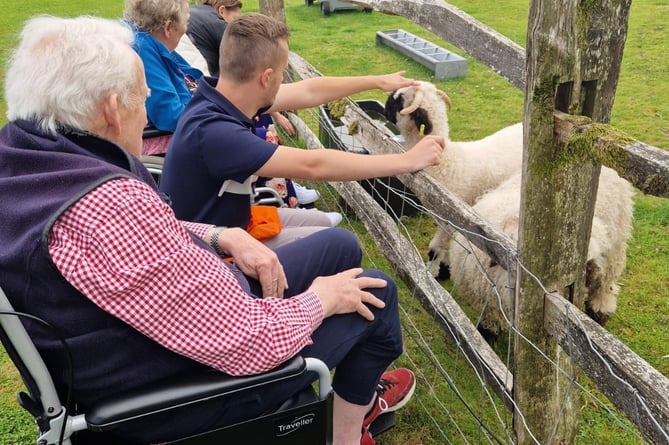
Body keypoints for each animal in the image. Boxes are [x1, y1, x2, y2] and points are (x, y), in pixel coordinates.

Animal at [384, 80, 524, 280]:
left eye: (398, 99)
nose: (384, 109)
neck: (447, 161)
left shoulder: (451, 220)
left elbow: (434, 249)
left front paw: (431, 273)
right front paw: (444, 266)